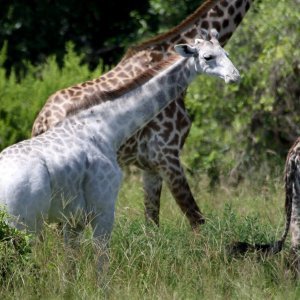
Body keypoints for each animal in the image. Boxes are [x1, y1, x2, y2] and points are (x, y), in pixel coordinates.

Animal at [0, 31, 239, 264]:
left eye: (226, 53)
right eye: (208, 57)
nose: (235, 76)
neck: (107, 128)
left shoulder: (74, 219)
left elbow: (70, 265)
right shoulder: (103, 208)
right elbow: (101, 263)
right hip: (23, 224)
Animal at [31, 0, 253, 229]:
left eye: (228, 55)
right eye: (208, 57)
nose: (235, 76)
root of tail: (42, 122)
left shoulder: (150, 166)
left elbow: (152, 223)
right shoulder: (167, 155)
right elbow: (196, 220)